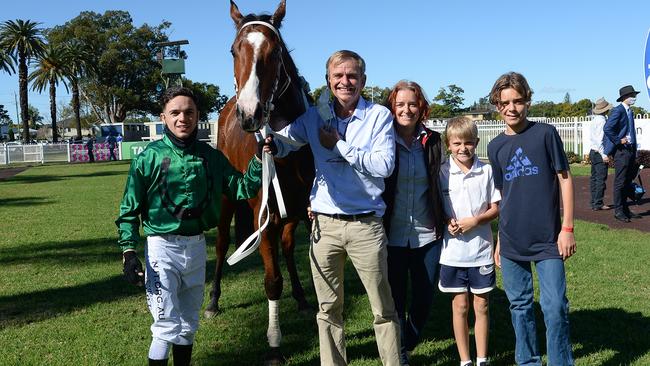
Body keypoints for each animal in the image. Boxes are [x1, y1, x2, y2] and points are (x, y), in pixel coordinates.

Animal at [204, 0, 312, 360]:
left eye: (274, 51)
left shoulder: (303, 210)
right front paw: (275, 345)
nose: (249, 113)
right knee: (222, 244)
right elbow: (272, 280)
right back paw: (212, 301)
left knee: (288, 249)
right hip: (226, 201)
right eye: (233, 50)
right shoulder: (264, 216)